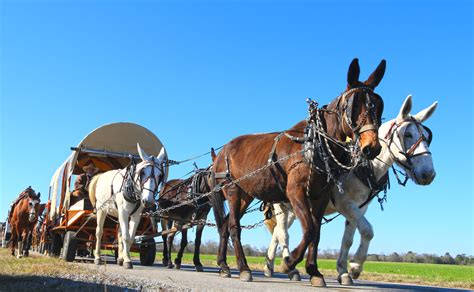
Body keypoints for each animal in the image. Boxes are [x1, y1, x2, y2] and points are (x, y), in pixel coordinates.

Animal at [211, 58, 386, 286]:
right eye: (354, 104)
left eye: (379, 105)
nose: (372, 147)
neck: (314, 143)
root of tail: (223, 151)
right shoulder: (296, 192)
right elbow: (309, 229)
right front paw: (289, 263)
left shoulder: (320, 196)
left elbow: (316, 232)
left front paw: (314, 271)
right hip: (232, 191)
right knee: (233, 227)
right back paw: (243, 267)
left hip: (246, 195)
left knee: (224, 225)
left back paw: (223, 265)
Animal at [262, 95, 436, 286]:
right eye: (407, 134)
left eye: (428, 137)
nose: (429, 174)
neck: (363, 164)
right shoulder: (344, 203)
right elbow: (367, 230)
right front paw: (355, 266)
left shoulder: (359, 207)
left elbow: (348, 240)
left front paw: (343, 271)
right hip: (282, 205)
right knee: (282, 233)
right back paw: (289, 267)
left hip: (294, 209)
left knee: (277, 233)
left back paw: (269, 266)